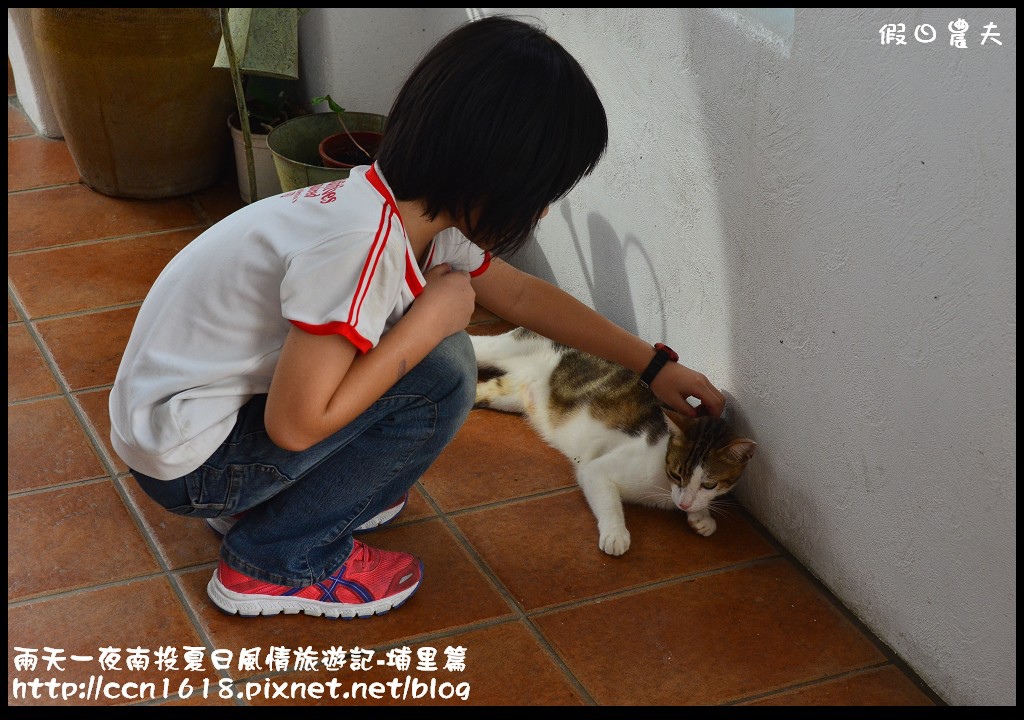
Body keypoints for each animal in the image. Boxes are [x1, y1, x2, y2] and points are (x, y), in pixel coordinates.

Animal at [468, 327, 753, 557]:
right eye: (676, 474)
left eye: (709, 484)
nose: (683, 504)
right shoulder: (596, 470)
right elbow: (610, 503)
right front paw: (616, 535)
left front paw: (701, 516)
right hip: (504, 348)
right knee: (474, 342)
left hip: (505, 395)